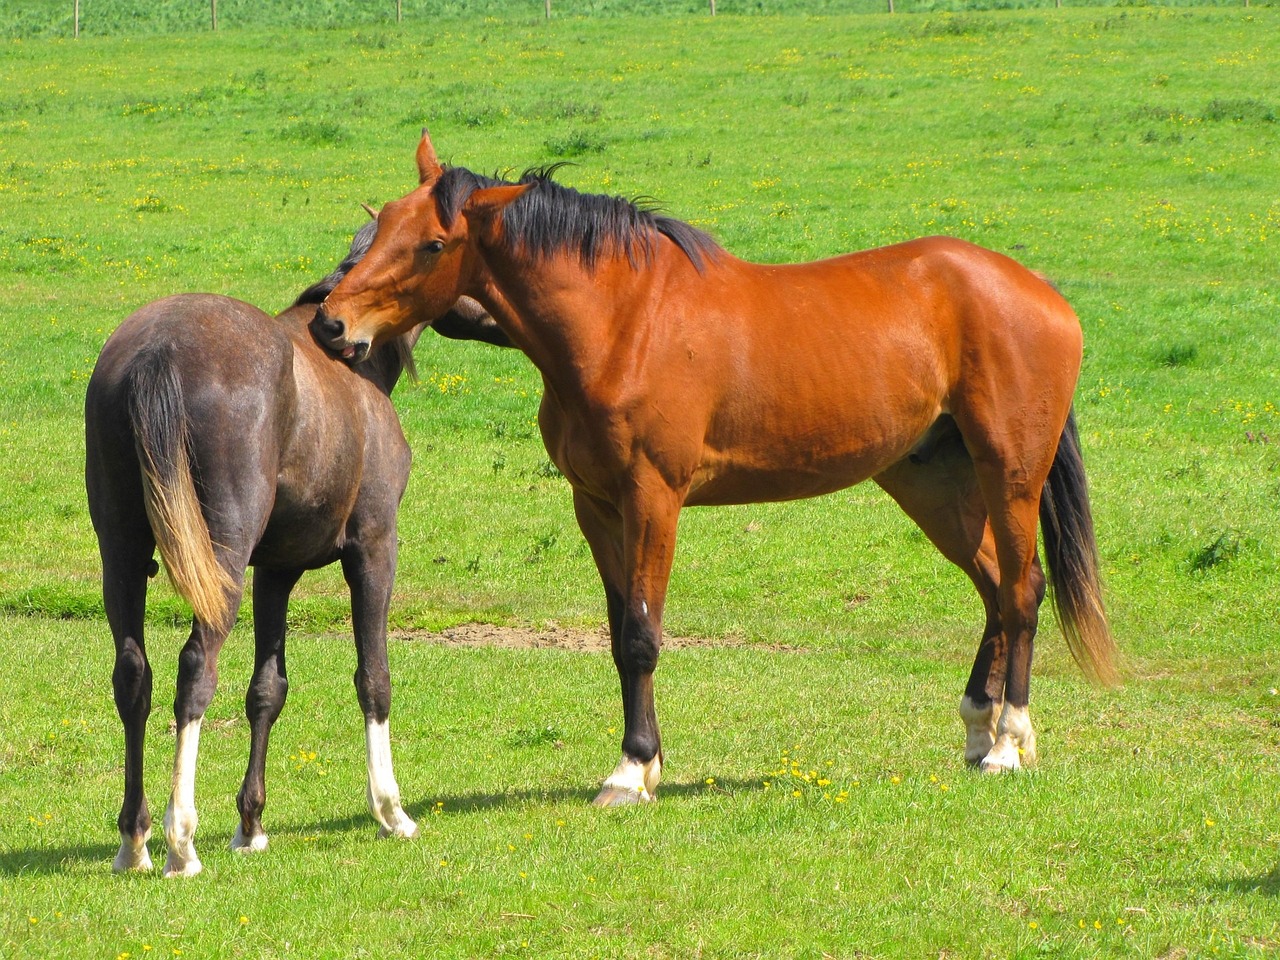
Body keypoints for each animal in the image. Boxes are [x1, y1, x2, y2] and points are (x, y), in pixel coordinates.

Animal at [80, 220, 506, 880]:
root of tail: (158, 351)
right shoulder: (374, 549)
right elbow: (374, 677)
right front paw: (391, 811)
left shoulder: (275, 571)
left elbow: (266, 690)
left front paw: (251, 825)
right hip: (220, 562)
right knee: (194, 670)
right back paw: (181, 839)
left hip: (123, 556)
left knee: (134, 677)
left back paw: (135, 839)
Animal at [307, 133, 1111, 814]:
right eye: (380, 224)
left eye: (432, 243)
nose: (329, 324)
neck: (625, 321)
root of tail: (1041, 292)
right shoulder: (596, 506)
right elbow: (617, 634)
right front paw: (647, 762)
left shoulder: (653, 498)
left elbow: (641, 634)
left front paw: (631, 770)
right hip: (931, 481)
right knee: (995, 590)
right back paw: (980, 731)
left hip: (1010, 472)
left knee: (1022, 591)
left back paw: (1009, 742)